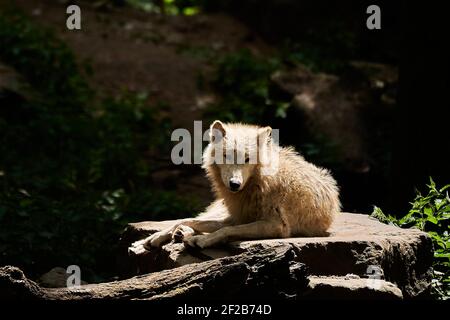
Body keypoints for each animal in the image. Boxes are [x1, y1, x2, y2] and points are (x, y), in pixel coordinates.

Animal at [130, 120, 342, 252]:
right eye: (226, 156)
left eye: (247, 159)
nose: (234, 184)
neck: (258, 182)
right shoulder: (237, 216)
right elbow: (191, 220)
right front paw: (156, 238)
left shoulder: (277, 226)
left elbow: (225, 231)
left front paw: (201, 240)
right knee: (190, 219)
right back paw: (162, 237)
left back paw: (183, 235)